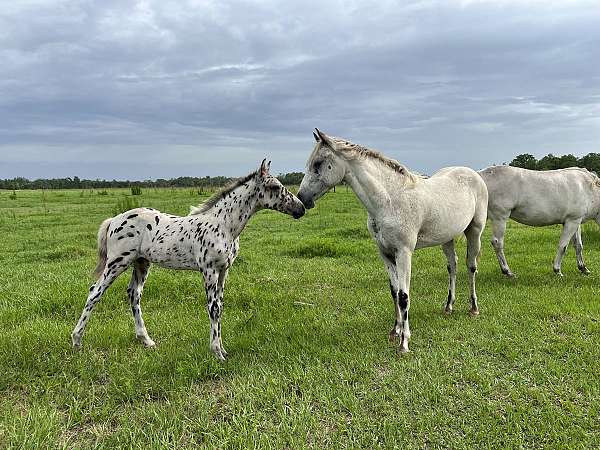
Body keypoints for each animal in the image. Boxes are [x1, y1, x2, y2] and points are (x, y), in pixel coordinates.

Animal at [71, 160, 304, 360]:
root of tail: (114, 220)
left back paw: (146, 340)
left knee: (134, 294)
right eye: (274, 186)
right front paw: (216, 352)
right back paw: (76, 341)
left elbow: (220, 306)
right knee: (94, 292)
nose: (300, 208)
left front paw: (223, 349)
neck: (223, 225)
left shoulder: (224, 270)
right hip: (117, 262)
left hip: (141, 263)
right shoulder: (209, 270)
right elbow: (213, 308)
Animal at [296, 128, 488, 354]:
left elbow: (404, 296)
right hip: (447, 238)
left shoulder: (404, 253)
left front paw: (404, 342)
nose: (302, 199)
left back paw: (473, 308)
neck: (389, 200)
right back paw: (448, 306)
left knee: (471, 266)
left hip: (474, 231)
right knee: (453, 266)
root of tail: (474, 174)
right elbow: (394, 292)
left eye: (318, 163)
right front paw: (395, 330)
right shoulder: (385, 253)